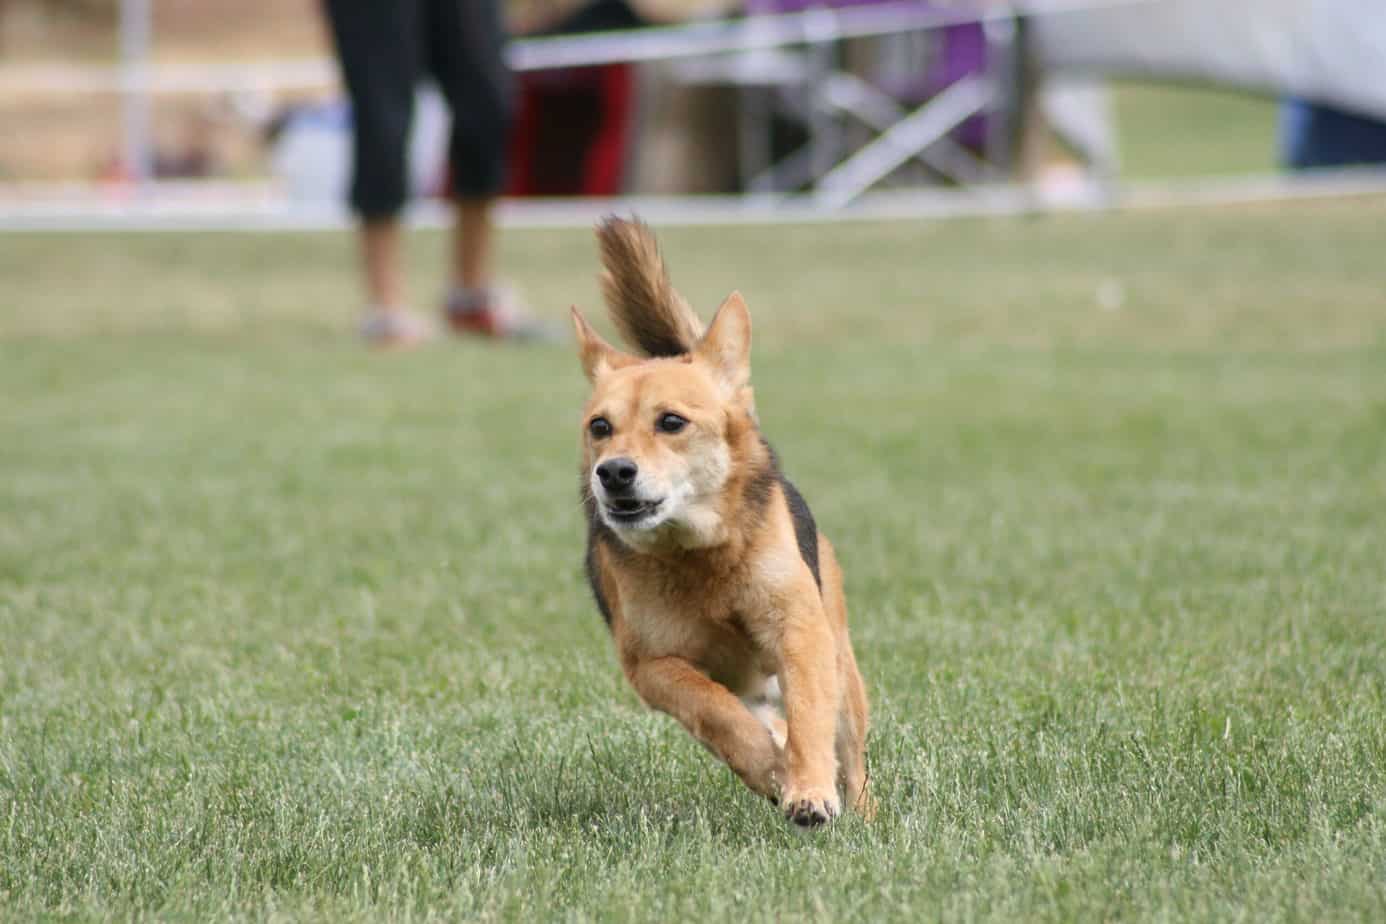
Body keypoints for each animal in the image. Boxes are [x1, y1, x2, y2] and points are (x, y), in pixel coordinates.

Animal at [568, 220, 870, 825]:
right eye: (599, 426)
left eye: (672, 422)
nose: (613, 473)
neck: (697, 555)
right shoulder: (652, 666)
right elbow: (717, 713)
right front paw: (773, 771)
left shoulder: (799, 630)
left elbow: (809, 716)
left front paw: (808, 788)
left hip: (841, 661)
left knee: (851, 751)